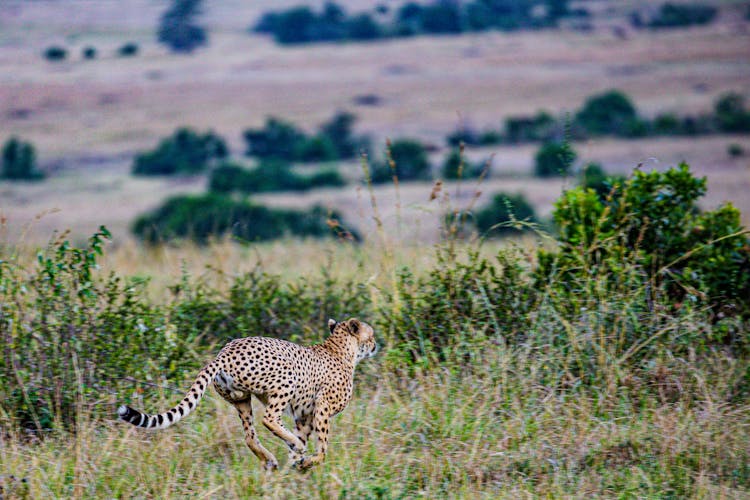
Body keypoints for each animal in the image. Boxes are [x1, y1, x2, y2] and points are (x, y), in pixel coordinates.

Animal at [118, 318, 378, 470]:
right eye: (372, 334)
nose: (376, 345)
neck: (340, 349)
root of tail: (225, 351)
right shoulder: (322, 405)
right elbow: (322, 445)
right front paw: (307, 460)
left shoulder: (304, 416)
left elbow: (303, 439)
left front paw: (296, 464)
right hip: (286, 379)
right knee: (269, 419)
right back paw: (288, 447)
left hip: (240, 398)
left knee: (250, 436)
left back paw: (271, 459)